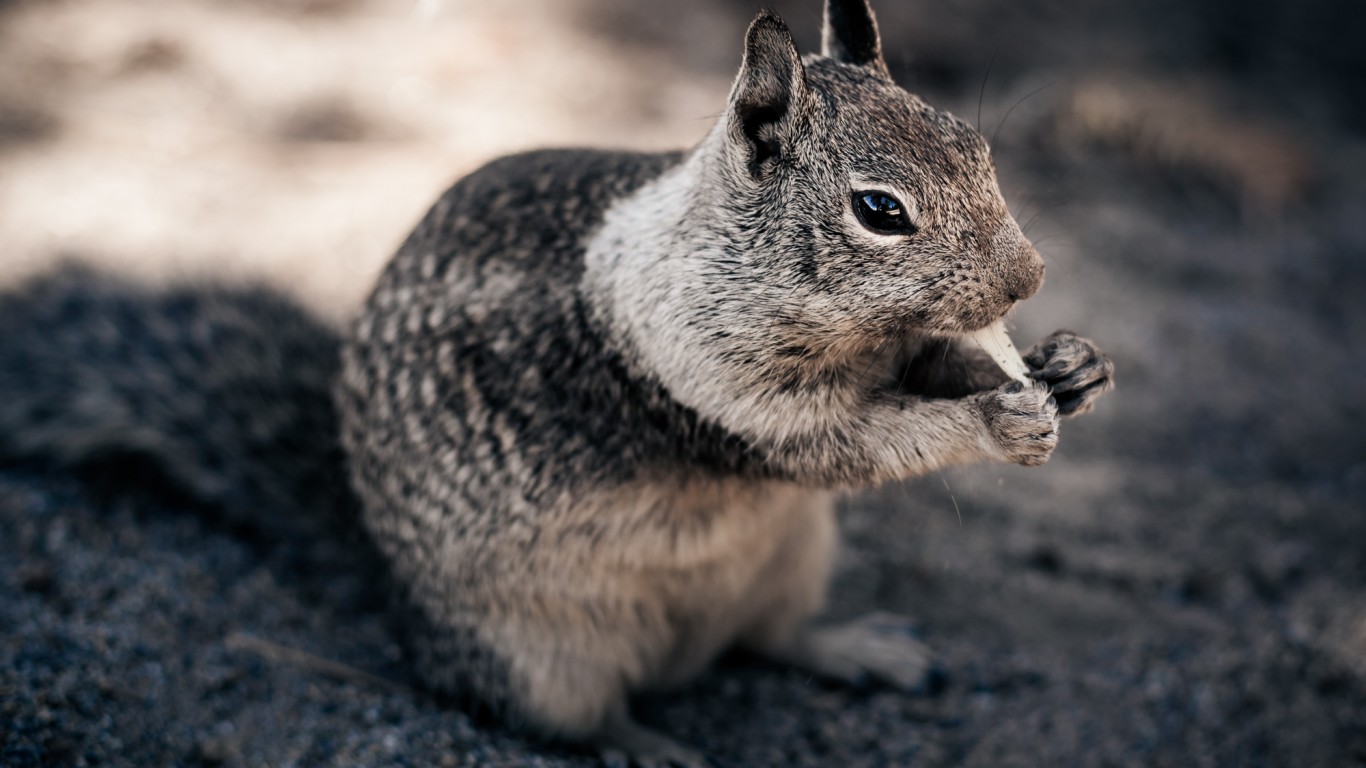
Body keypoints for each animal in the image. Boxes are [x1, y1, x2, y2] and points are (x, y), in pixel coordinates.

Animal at [0, 2, 1109, 759]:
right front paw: (995, 421)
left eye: (975, 145)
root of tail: (389, 584)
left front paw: (1070, 367)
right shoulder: (723, 399)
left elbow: (937, 362)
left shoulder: (891, 346)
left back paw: (857, 647)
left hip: (792, 561)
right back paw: (645, 744)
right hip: (547, 661)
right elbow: (865, 443)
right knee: (569, 718)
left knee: (769, 636)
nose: (1028, 278)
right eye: (880, 210)